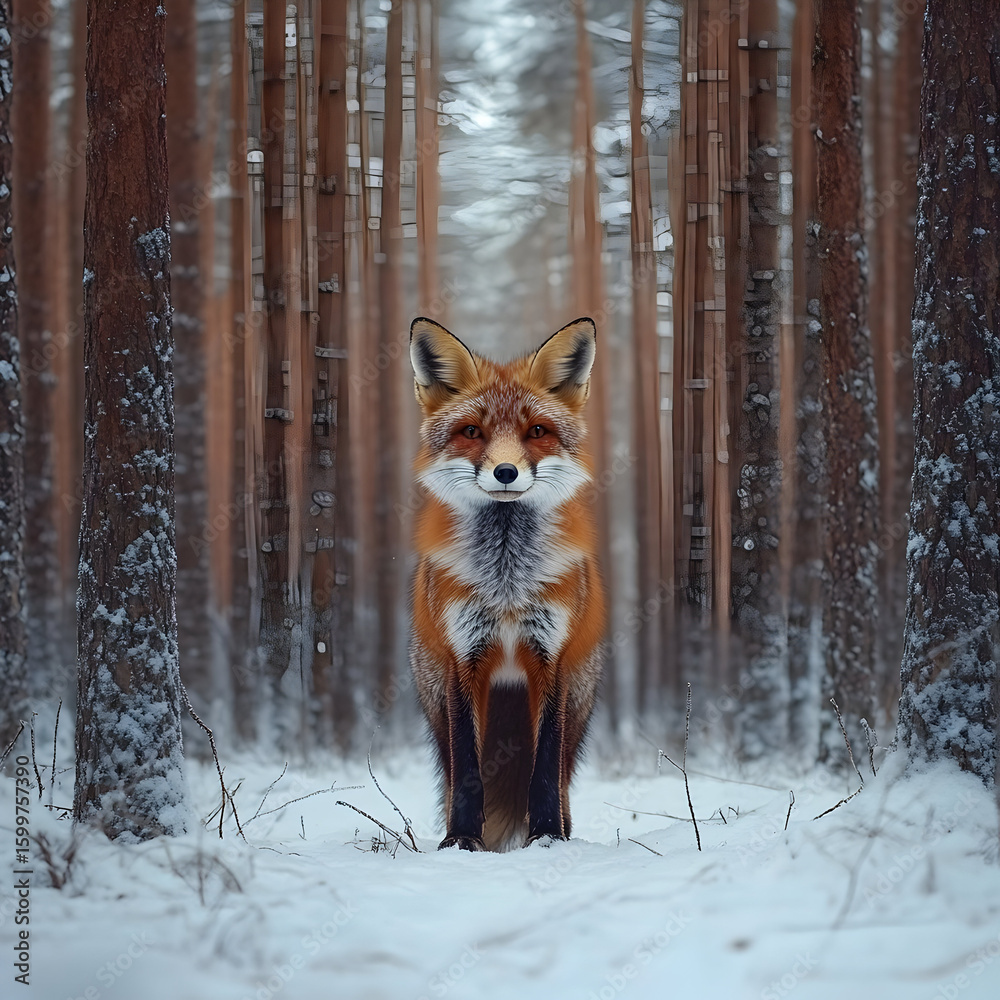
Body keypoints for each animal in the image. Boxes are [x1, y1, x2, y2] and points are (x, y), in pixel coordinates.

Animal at [408, 315, 606, 852]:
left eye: (536, 431)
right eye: (471, 432)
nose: (505, 472)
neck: (507, 587)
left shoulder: (549, 658)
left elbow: (544, 770)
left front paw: (547, 837)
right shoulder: (464, 658)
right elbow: (468, 769)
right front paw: (460, 840)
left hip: (579, 704)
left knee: (562, 775)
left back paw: (567, 830)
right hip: (434, 700)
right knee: (450, 770)